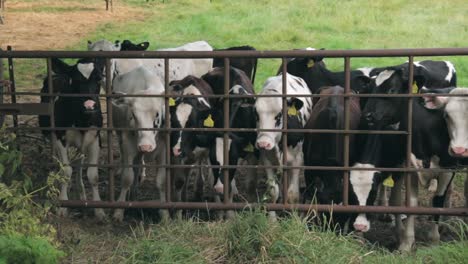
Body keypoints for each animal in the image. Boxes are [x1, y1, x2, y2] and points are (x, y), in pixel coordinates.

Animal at [38, 57, 105, 221]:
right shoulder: (61, 138)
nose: (89, 105)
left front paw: (98, 209)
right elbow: (66, 171)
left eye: (99, 78)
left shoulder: (95, 139)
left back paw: (81, 192)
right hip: (51, 135)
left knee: (80, 166)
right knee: (58, 160)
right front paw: (63, 204)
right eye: (74, 80)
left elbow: (93, 175)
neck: (82, 121)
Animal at [254, 73, 312, 220]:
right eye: (256, 114)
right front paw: (272, 221)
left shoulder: (297, 160)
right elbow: (272, 191)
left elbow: (293, 195)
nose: (263, 143)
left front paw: (294, 219)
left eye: (279, 115)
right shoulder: (267, 159)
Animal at [352, 67, 458, 251]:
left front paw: (434, 239)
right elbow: (406, 203)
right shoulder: (406, 167)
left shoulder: (446, 169)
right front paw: (405, 241)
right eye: (370, 89)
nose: (367, 115)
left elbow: (437, 201)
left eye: (391, 90)